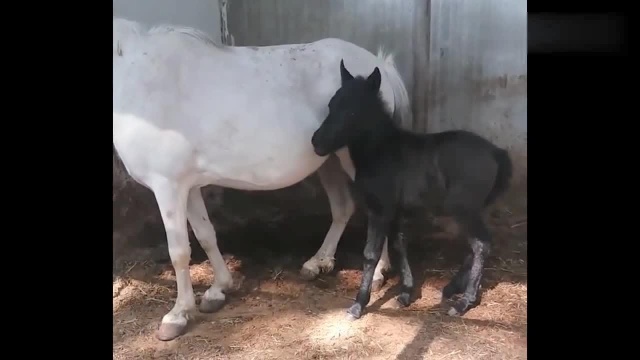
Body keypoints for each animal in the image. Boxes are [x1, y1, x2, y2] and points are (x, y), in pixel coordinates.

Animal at [112, 18, 412, 340]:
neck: (140, 81)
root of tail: (380, 66)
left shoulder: (167, 186)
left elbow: (179, 252)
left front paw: (177, 316)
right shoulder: (187, 187)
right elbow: (206, 236)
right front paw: (218, 290)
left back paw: (379, 272)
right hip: (329, 160)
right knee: (343, 208)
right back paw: (318, 262)